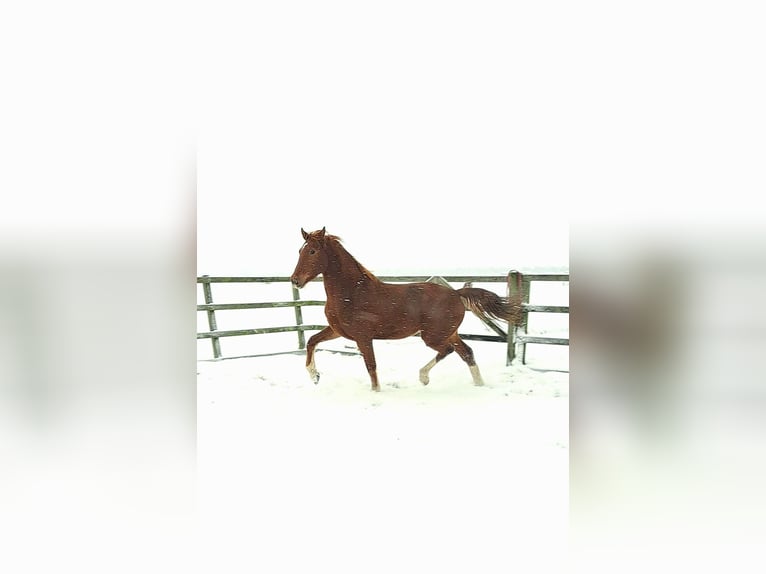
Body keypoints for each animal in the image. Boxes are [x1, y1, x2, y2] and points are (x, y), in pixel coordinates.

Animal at [290, 227, 523, 391]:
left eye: (312, 251)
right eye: (300, 250)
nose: (295, 280)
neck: (351, 292)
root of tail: (456, 293)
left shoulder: (363, 337)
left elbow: (371, 367)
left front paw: (376, 392)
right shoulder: (338, 331)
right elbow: (312, 341)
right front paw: (314, 376)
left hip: (433, 336)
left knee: (448, 351)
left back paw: (424, 377)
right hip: (449, 333)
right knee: (467, 353)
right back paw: (479, 385)